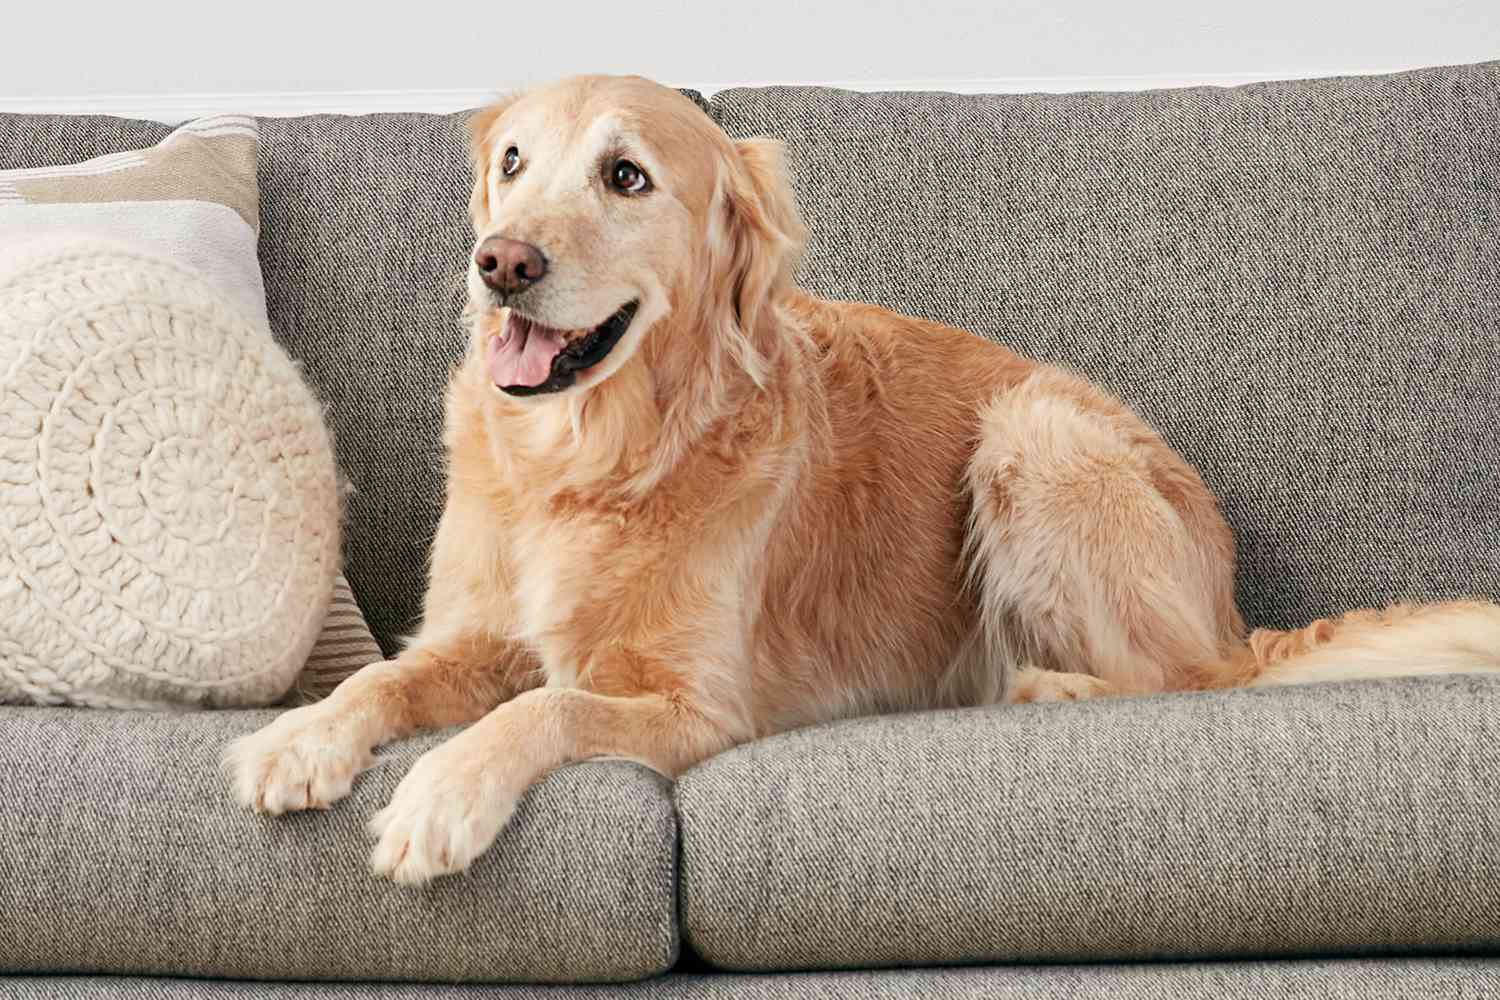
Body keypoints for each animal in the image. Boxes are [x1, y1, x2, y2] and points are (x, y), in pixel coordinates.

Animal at [222, 74, 1500, 881]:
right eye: (513, 162)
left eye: (627, 176)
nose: (499, 263)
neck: (591, 459)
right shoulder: (468, 635)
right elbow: (385, 678)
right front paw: (302, 736)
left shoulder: (701, 707)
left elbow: (548, 703)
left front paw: (439, 796)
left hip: (1034, 430)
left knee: (1185, 683)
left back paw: (1041, 686)